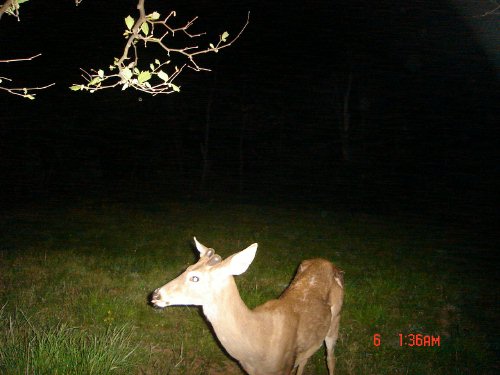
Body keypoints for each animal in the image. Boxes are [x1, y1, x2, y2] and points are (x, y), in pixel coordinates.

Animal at [149, 239, 344, 374]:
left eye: (195, 278)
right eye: (187, 268)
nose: (156, 295)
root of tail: (330, 264)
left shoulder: (283, 367)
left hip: (336, 320)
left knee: (331, 358)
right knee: (306, 358)